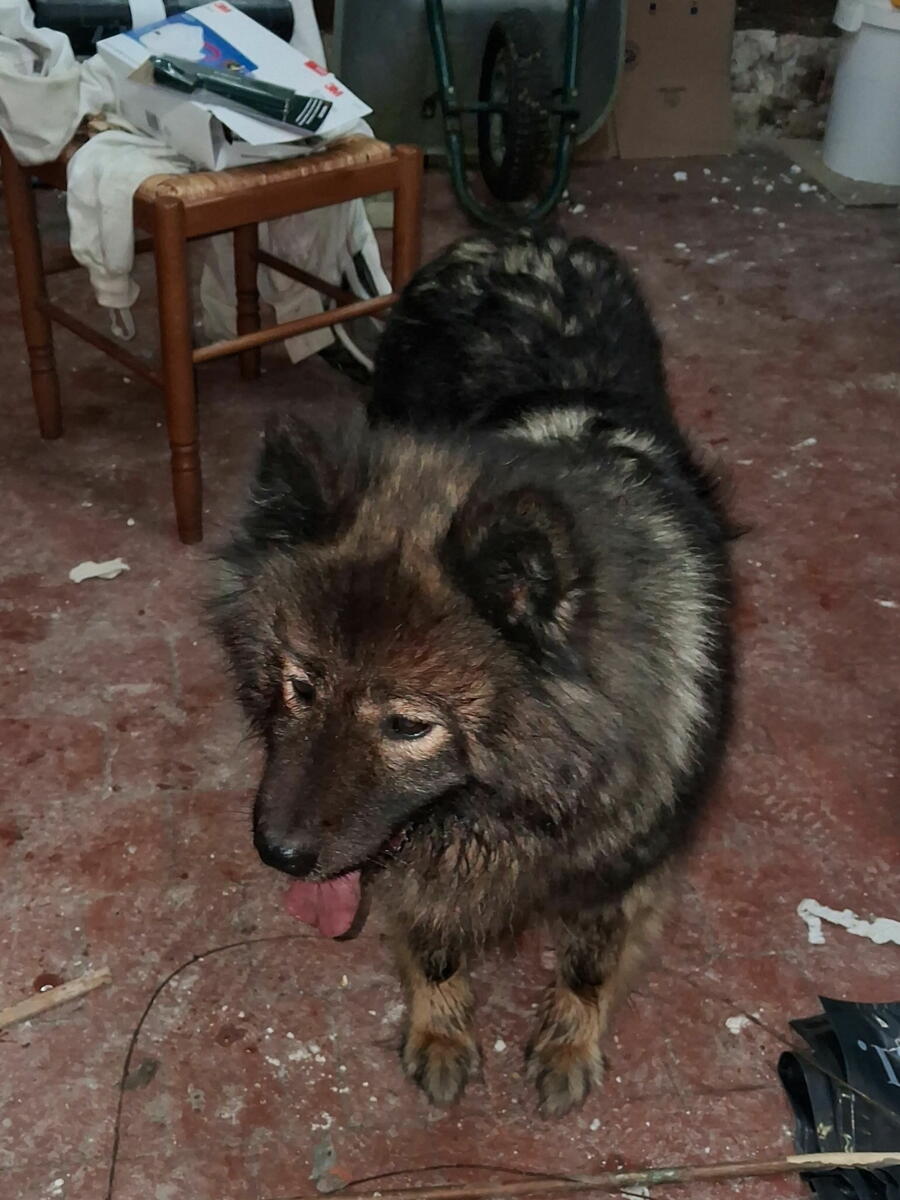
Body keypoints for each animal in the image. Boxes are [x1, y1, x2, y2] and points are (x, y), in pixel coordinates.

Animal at [212, 230, 733, 1117]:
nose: (278, 854)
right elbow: (434, 944)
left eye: (409, 725)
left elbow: (589, 965)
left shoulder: (624, 870)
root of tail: (515, 236)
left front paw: (568, 1045)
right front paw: (441, 1033)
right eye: (301, 686)